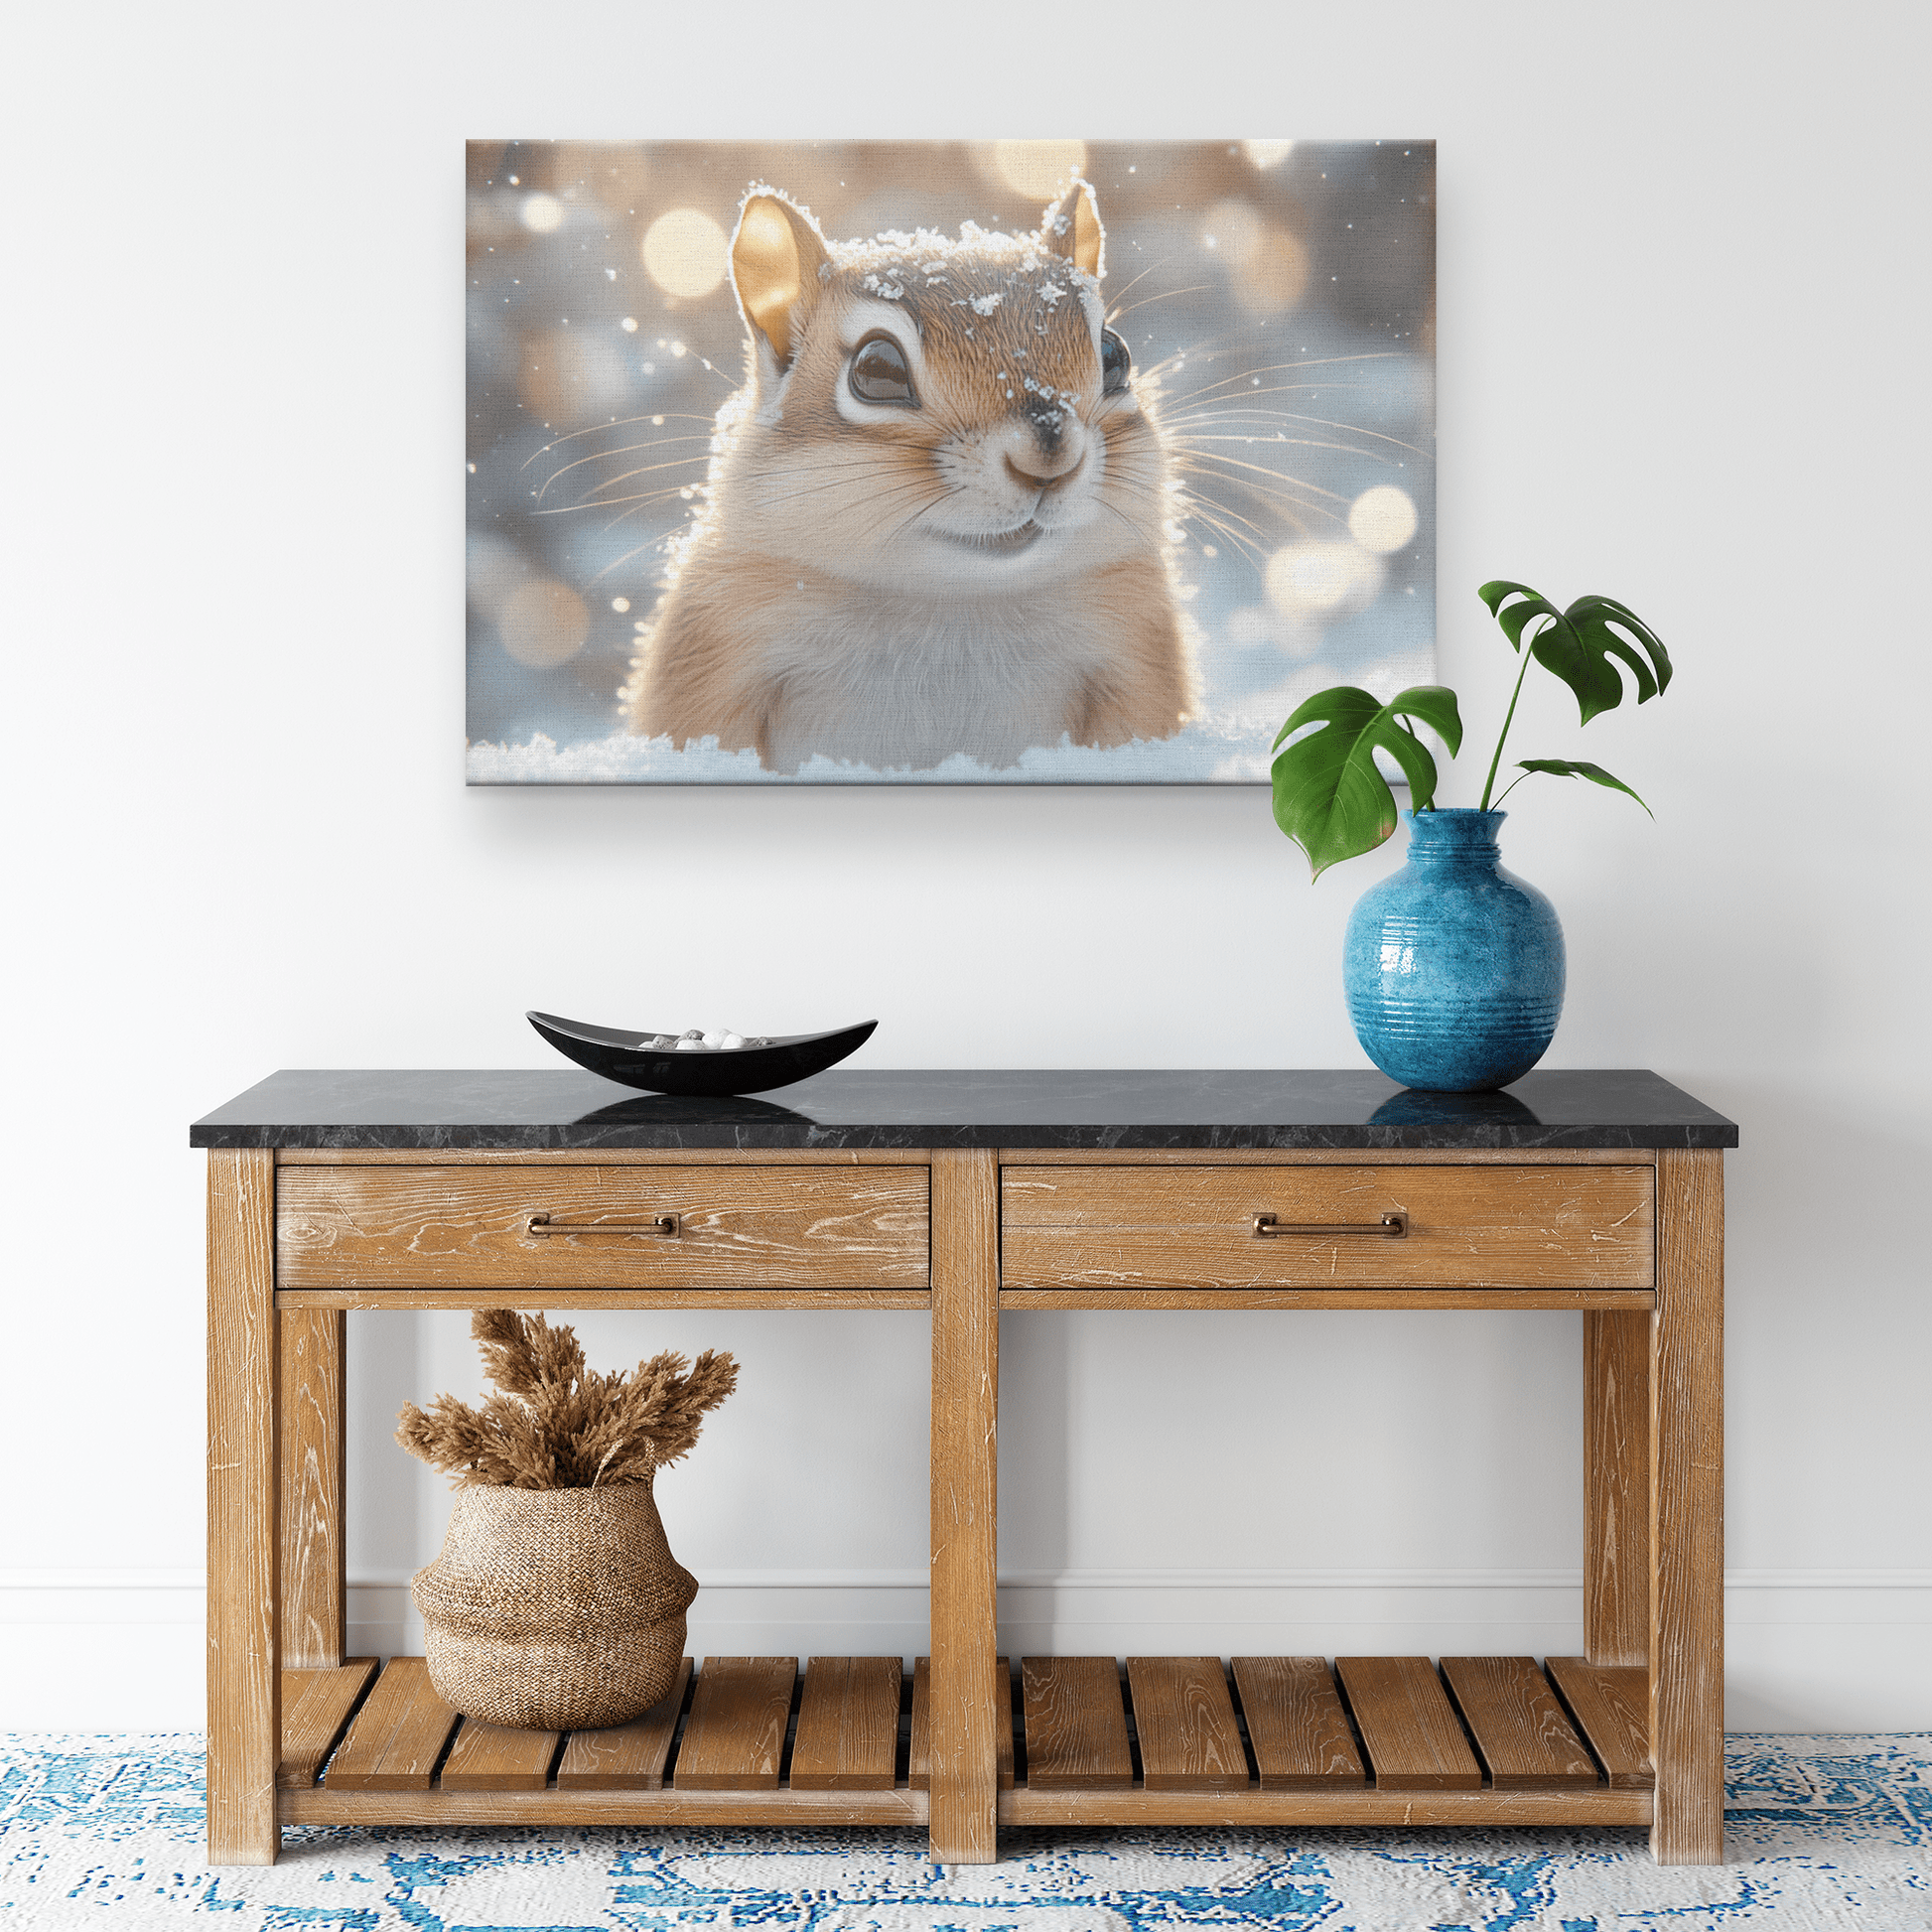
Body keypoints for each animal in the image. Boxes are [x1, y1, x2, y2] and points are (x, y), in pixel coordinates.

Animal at [619, 181, 1197, 774]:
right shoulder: (716, 648)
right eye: (878, 370)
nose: (1049, 460)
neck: (951, 602)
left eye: (1114, 353)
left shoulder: (1136, 653)